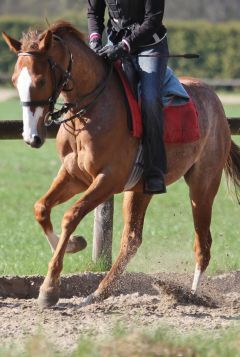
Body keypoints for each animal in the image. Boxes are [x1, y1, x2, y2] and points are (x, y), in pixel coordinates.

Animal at [2, 21, 240, 306]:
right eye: (15, 80)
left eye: (40, 80)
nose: (31, 137)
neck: (89, 111)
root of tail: (218, 106)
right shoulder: (74, 175)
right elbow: (41, 208)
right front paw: (74, 245)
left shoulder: (108, 179)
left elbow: (70, 216)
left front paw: (49, 288)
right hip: (140, 189)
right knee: (132, 239)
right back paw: (99, 292)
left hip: (203, 185)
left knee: (202, 242)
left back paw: (192, 295)